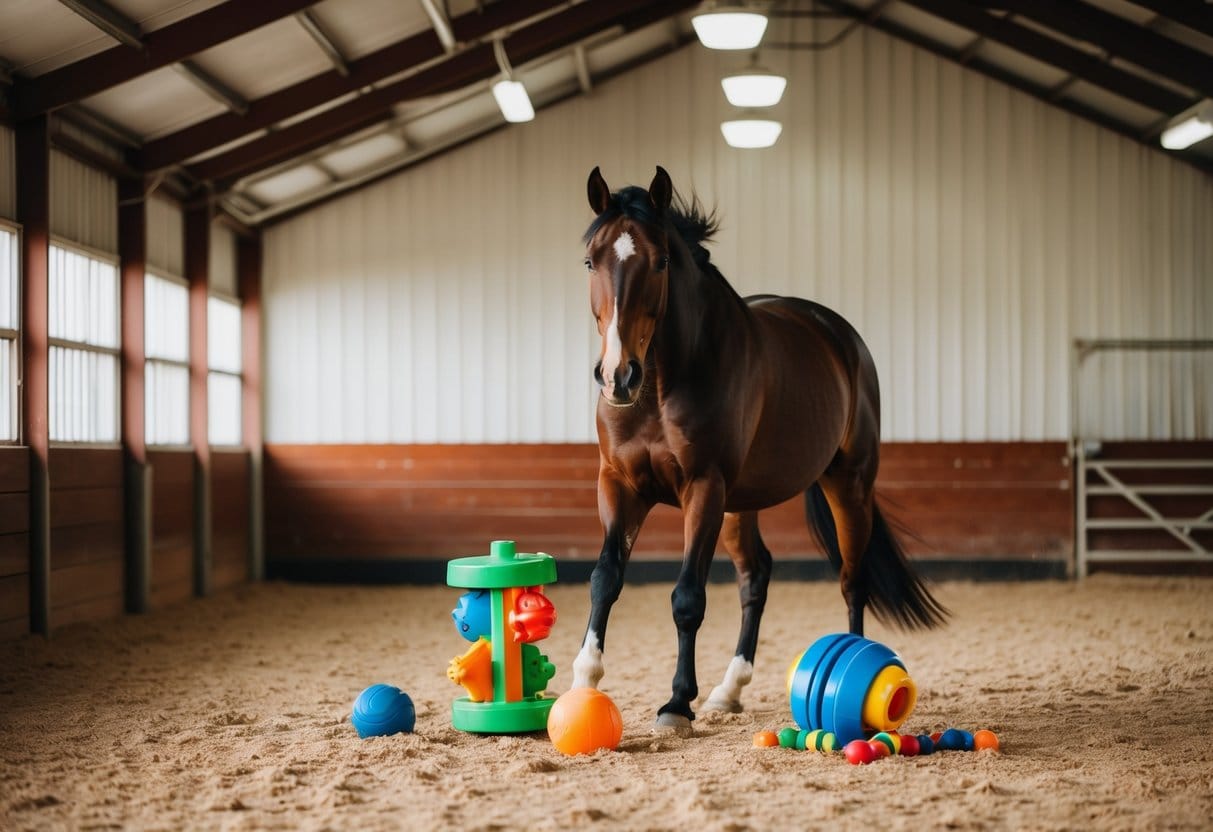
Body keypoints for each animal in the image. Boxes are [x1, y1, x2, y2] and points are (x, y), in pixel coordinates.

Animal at [567, 164, 946, 737]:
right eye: (592, 260)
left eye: (661, 261)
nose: (618, 376)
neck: (664, 381)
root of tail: (842, 338)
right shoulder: (618, 483)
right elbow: (604, 578)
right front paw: (584, 679)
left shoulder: (703, 487)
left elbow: (687, 597)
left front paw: (676, 702)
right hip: (738, 505)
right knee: (756, 575)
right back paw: (729, 690)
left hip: (847, 486)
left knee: (852, 580)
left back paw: (852, 660)